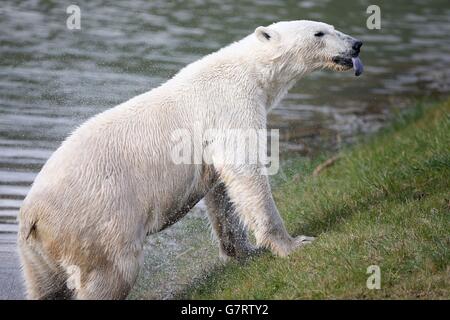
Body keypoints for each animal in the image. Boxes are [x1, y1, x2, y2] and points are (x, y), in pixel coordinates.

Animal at [17, 20, 364, 300]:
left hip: (39, 250)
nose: (356, 43)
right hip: (97, 217)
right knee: (112, 271)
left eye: (332, 26)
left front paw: (244, 252)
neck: (247, 70)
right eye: (319, 32)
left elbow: (223, 191)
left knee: (47, 287)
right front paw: (293, 244)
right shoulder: (230, 106)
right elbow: (245, 169)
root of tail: (33, 213)